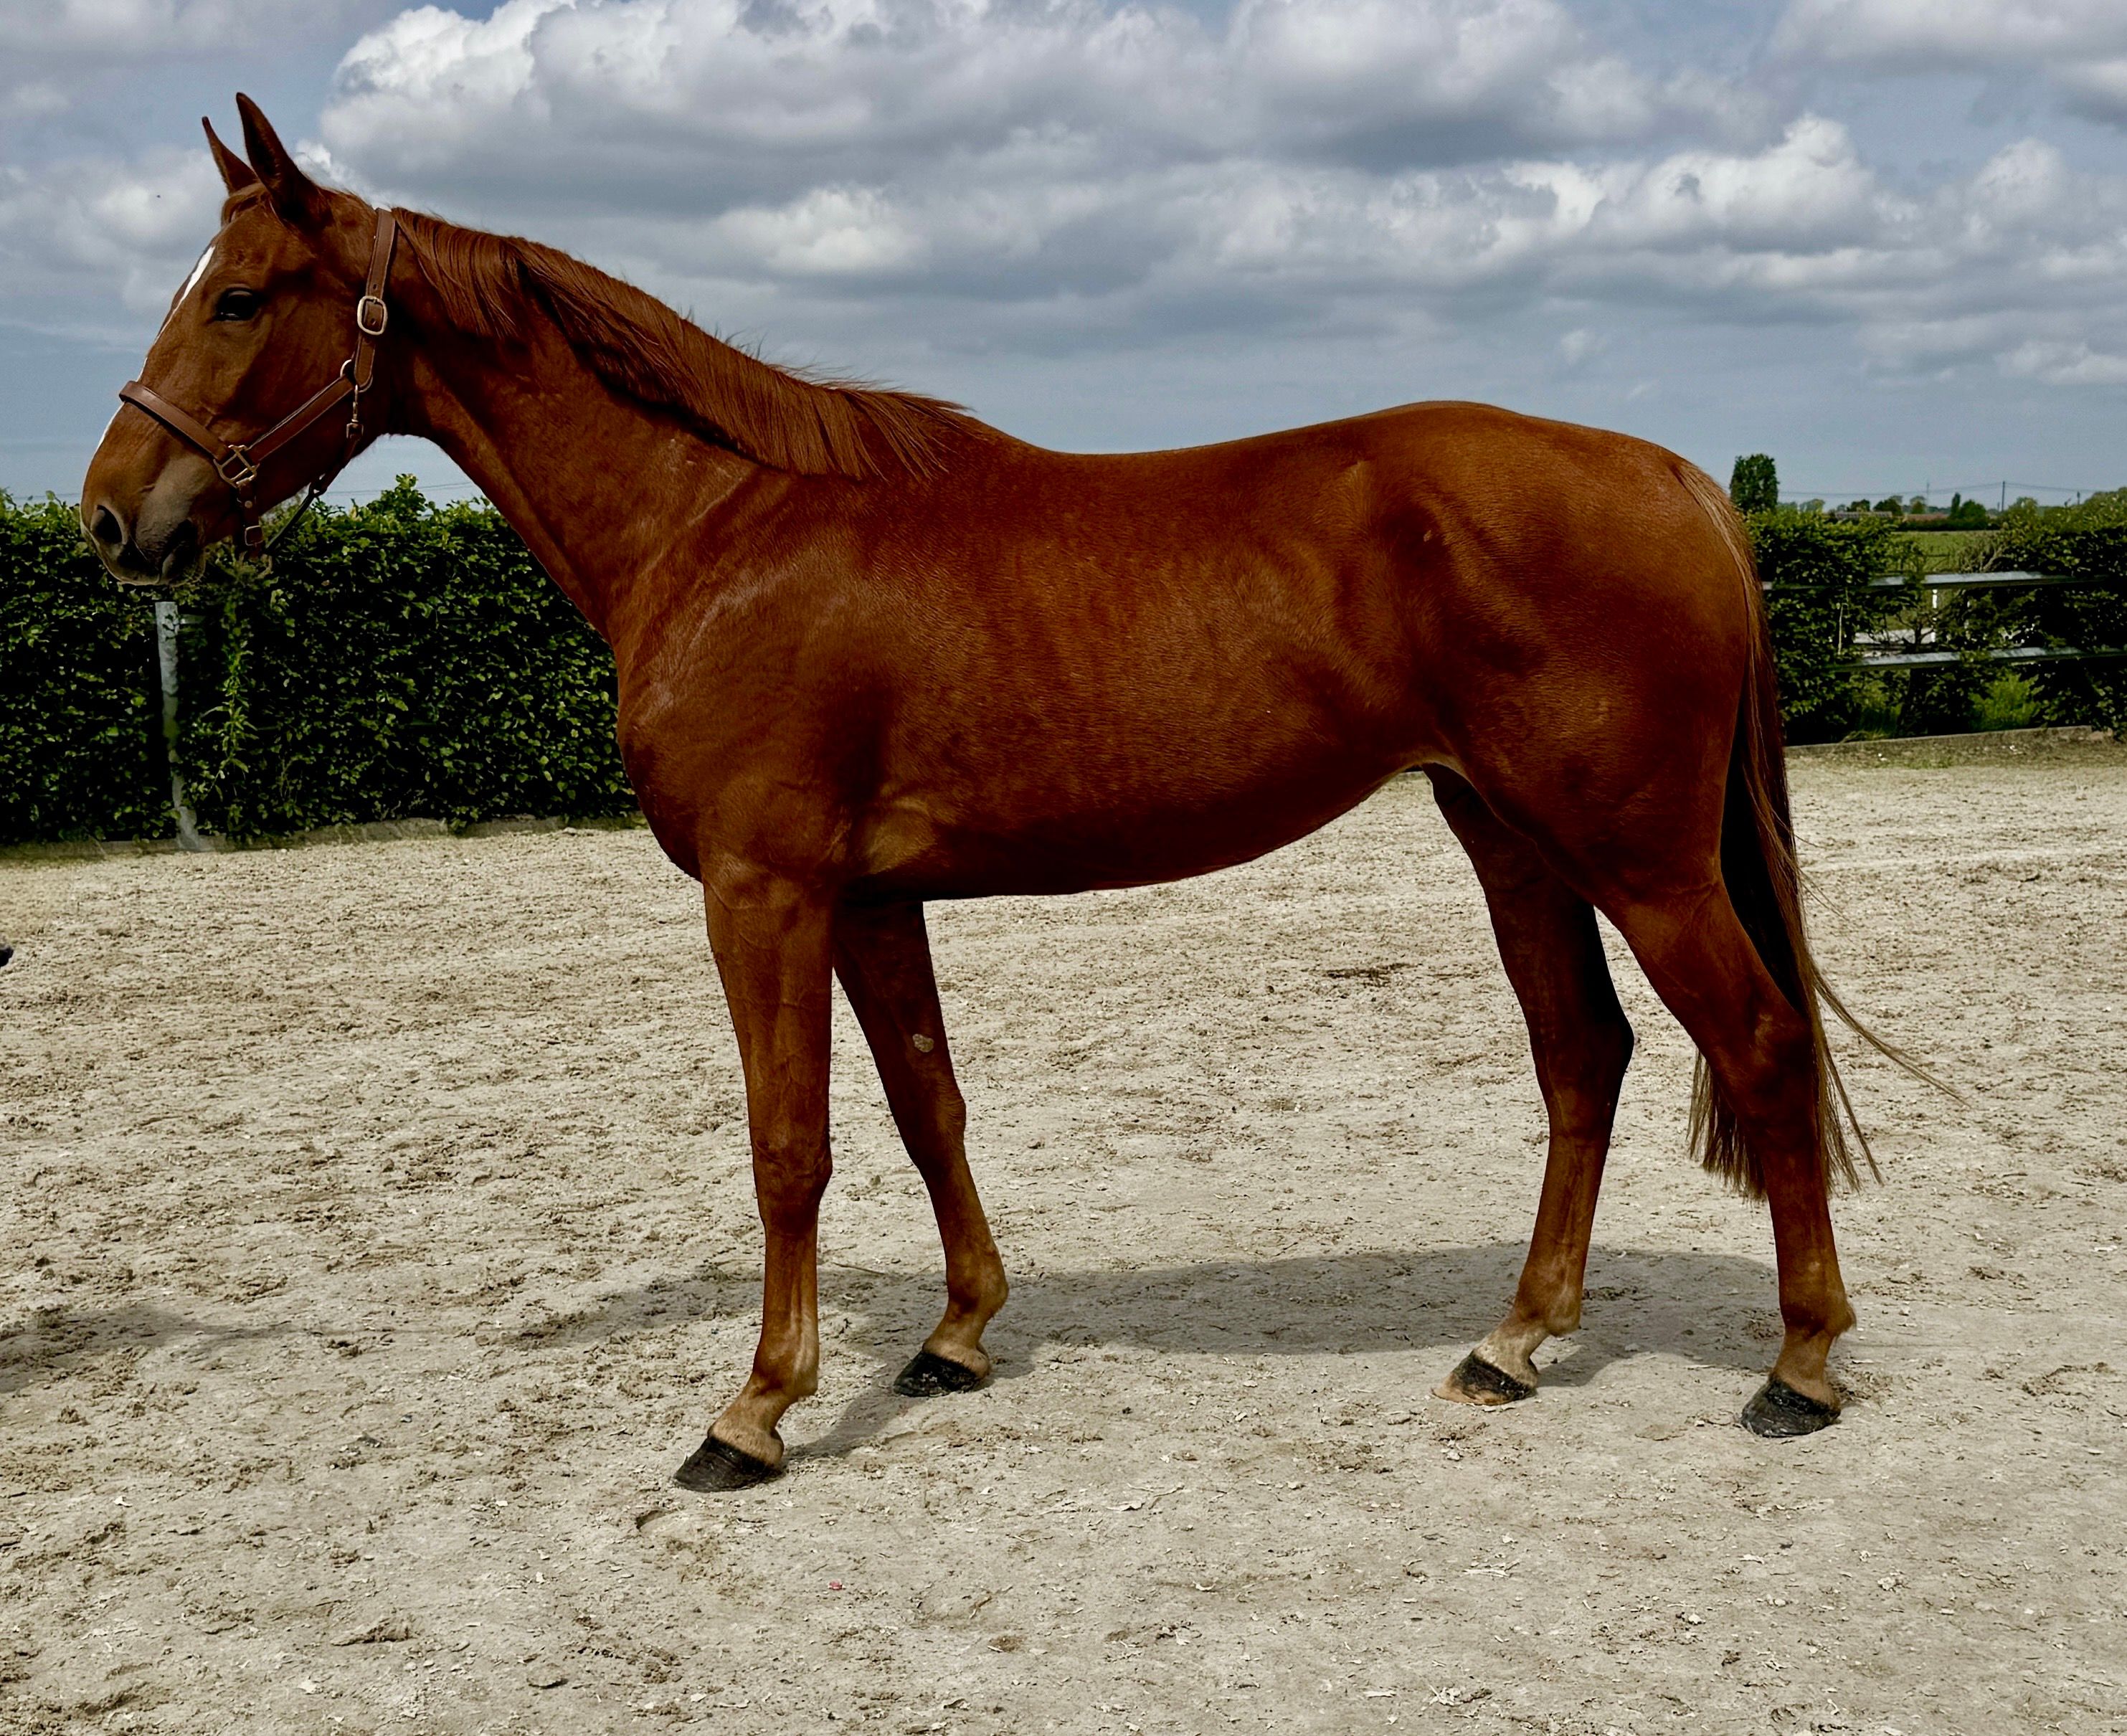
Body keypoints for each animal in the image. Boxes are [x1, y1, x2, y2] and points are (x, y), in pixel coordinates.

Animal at [85, 97, 1893, 1490]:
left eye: (240, 297)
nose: (114, 517)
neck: (717, 527)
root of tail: (1672, 477)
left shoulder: (764, 888)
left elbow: (790, 1140)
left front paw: (755, 1407)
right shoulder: (871, 895)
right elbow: (923, 1103)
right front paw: (954, 1333)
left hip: (1637, 854)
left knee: (1753, 1040)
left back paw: (1799, 1365)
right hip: (1508, 833)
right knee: (1581, 1055)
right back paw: (1513, 1338)